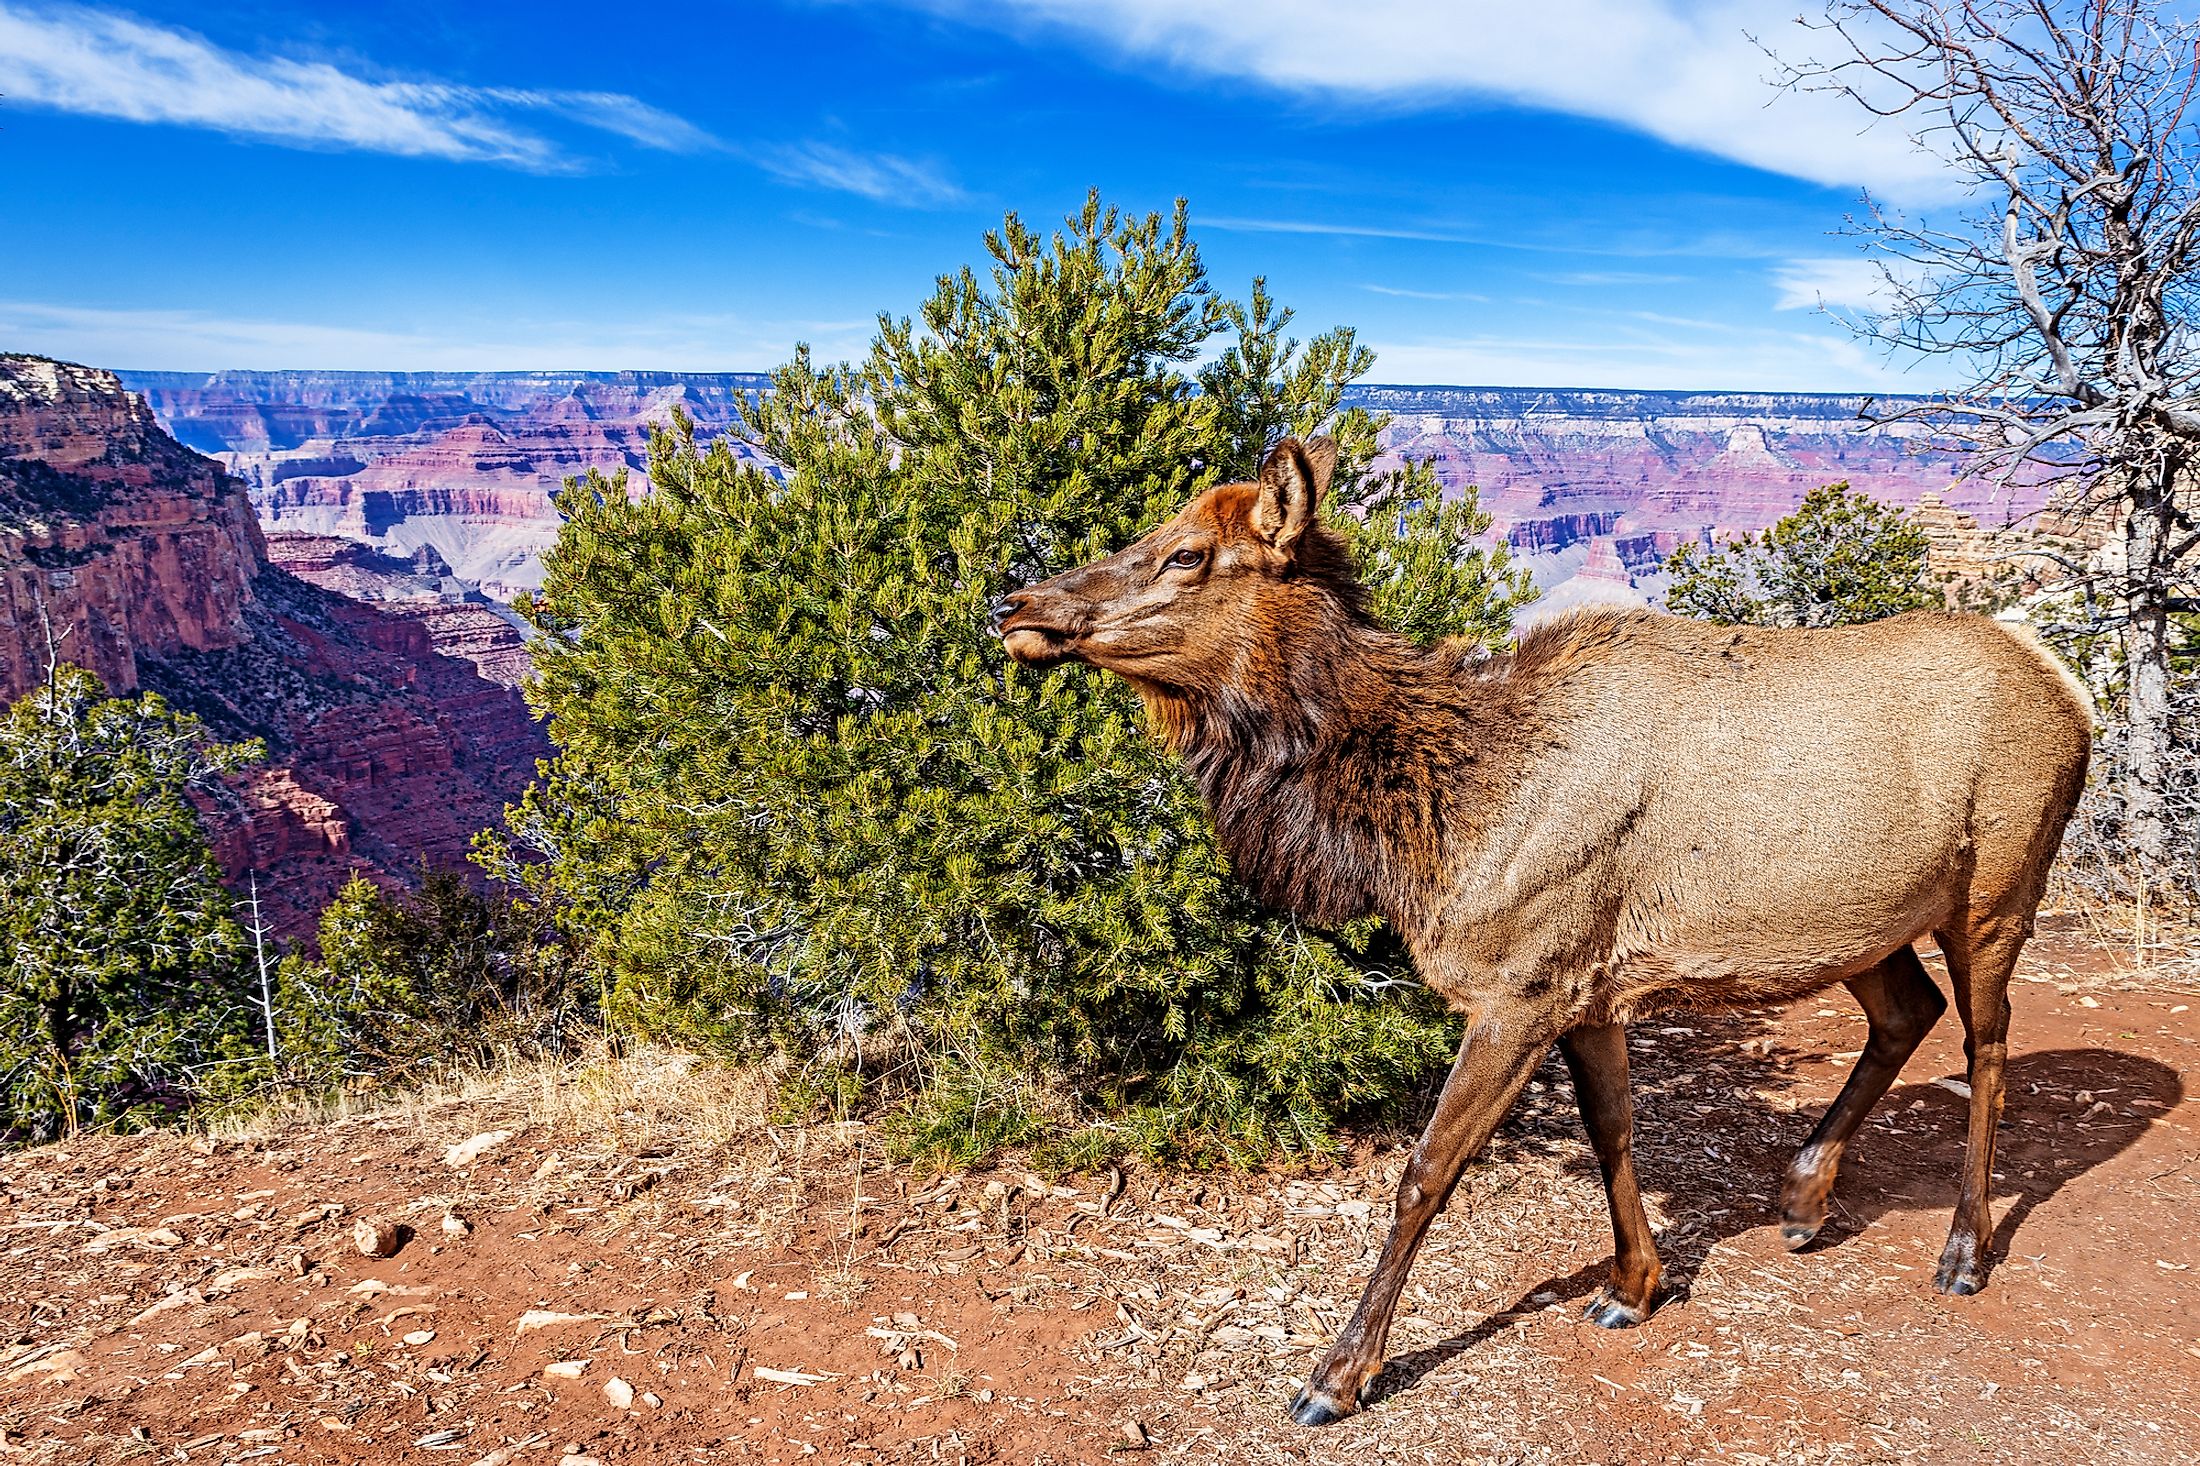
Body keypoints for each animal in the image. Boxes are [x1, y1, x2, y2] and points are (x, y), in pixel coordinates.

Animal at [994, 440, 2094, 1417]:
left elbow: (1424, 1174)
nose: (1018, 604)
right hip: (1859, 923)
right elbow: (1613, 1128)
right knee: (1907, 1011)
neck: (1433, 817)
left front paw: (1336, 1374)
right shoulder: (1588, 985)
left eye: (1187, 554)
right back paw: (1800, 1198)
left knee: (1988, 1042)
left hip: (1998, 887)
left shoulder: (1517, 986)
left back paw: (1963, 1249)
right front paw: (1632, 1286)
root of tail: (2072, 687)